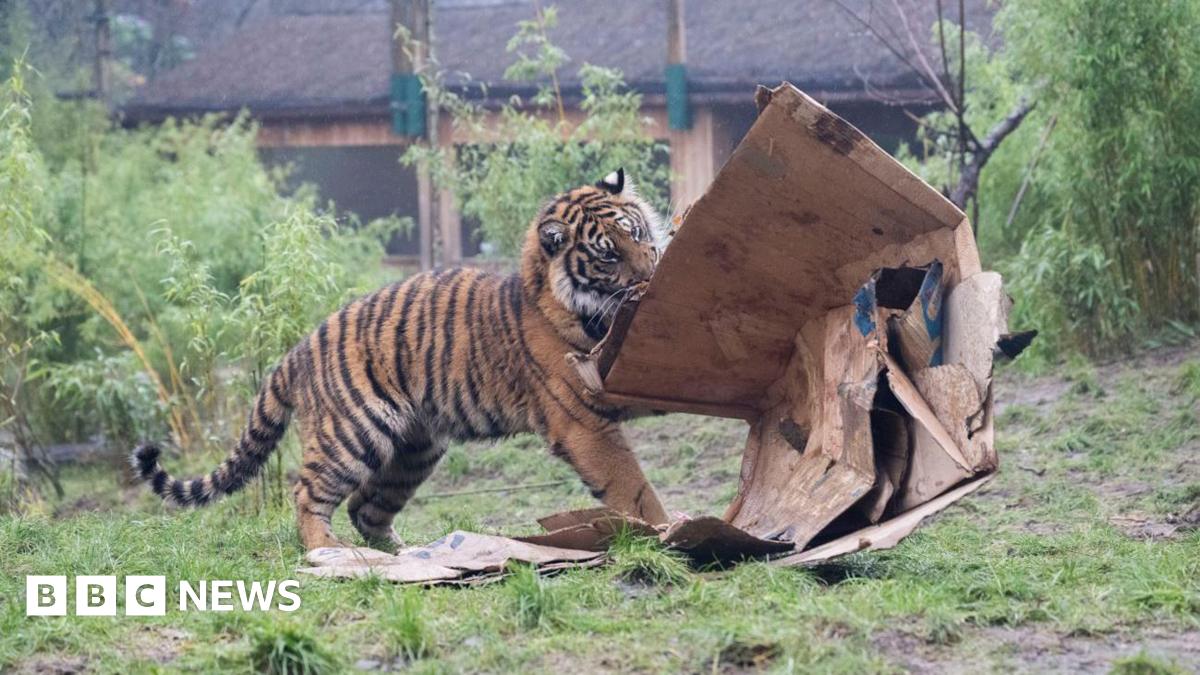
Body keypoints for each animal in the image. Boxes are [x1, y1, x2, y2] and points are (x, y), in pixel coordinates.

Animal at [132, 169, 671, 551]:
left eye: (637, 231)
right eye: (607, 255)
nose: (652, 275)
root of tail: (298, 348)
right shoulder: (583, 421)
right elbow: (633, 488)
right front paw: (666, 534)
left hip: (416, 449)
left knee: (365, 507)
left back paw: (408, 554)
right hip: (352, 435)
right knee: (309, 494)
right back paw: (327, 551)